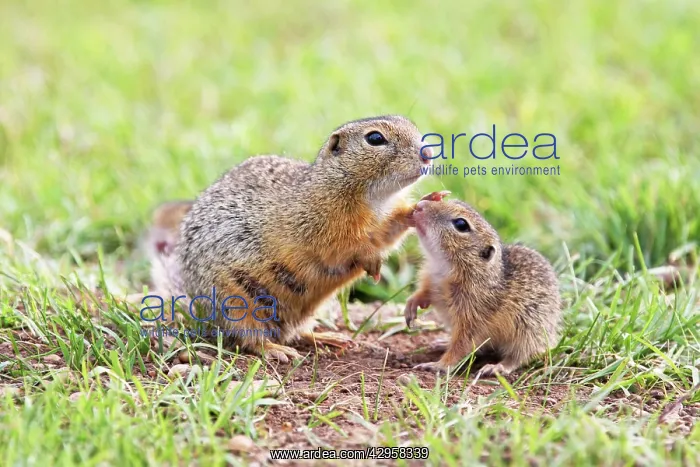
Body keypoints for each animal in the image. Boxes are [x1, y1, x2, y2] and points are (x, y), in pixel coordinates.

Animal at [147, 115, 433, 362]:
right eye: (375, 138)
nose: (428, 154)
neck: (374, 198)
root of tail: (199, 311)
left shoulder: (381, 223)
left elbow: (389, 232)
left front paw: (420, 208)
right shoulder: (319, 224)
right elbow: (342, 247)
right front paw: (371, 258)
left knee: (297, 332)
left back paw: (326, 337)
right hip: (236, 303)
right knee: (249, 338)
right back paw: (276, 349)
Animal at [404, 196, 561, 376]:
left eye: (461, 224)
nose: (420, 205)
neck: (444, 268)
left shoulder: (473, 318)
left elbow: (461, 346)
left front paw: (439, 365)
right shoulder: (431, 282)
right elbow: (424, 294)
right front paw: (411, 304)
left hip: (528, 331)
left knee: (520, 356)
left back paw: (498, 366)